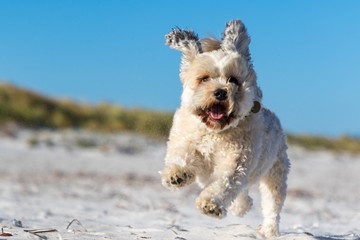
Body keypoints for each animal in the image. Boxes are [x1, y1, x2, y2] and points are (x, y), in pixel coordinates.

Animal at [160, 19, 290, 237]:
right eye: (204, 78)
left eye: (233, 80)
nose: (221, 92)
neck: (215, 133)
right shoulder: (184, 137)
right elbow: (180, 154)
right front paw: (177, 175)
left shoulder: (237, 161)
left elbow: (226, 181)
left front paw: (211, 205)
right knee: (243, 194)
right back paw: (242, 206)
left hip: (275, 174)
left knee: (271, 205)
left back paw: (268, 230)